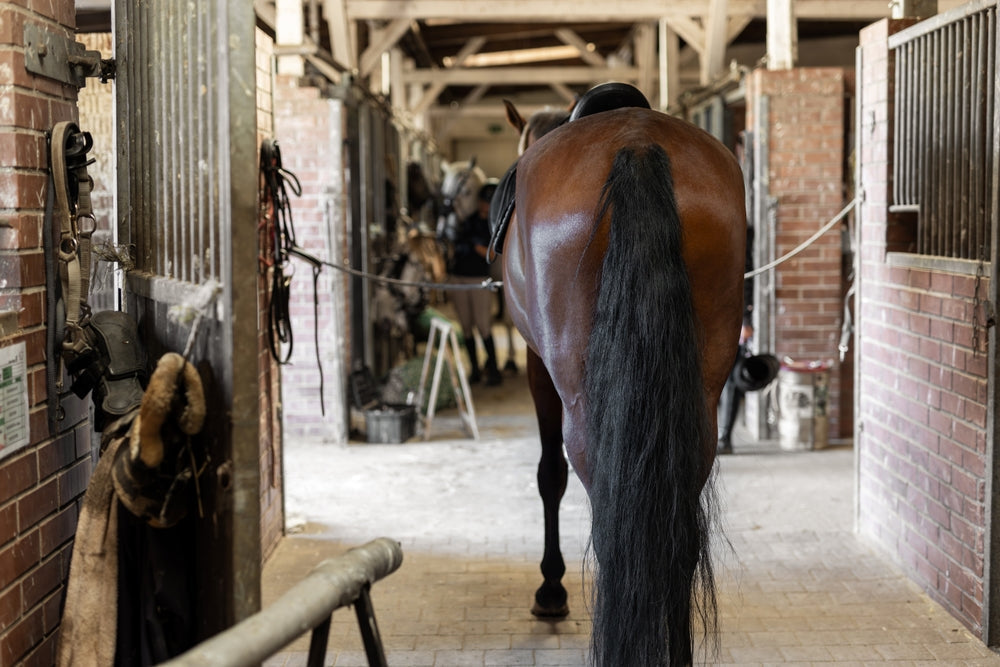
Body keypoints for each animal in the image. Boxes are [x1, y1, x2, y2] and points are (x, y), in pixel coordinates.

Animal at [495, 84, 747, 665]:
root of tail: (636, 145)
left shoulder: (538, 368)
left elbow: (549, 475)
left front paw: (551, 589)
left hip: (583, 402)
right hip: (697, 402)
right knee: (676, 534)